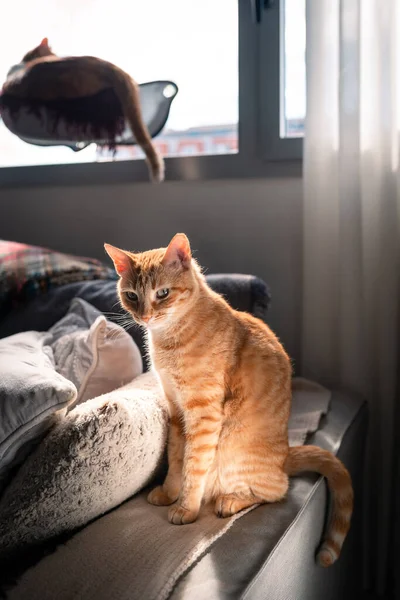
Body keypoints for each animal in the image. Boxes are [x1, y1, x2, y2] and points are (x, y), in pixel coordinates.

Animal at [104, 234, 354, 568]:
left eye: (163, 293)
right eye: (131, 296)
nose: (144, 316)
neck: (169, 340)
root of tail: (286, 455)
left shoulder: (204, 415)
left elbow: (194, 466)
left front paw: (186, 508)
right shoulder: (176, 411)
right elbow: (176, 458)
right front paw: (170, 493)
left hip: (235, 453)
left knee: (276, 491)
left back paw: (230, 501)